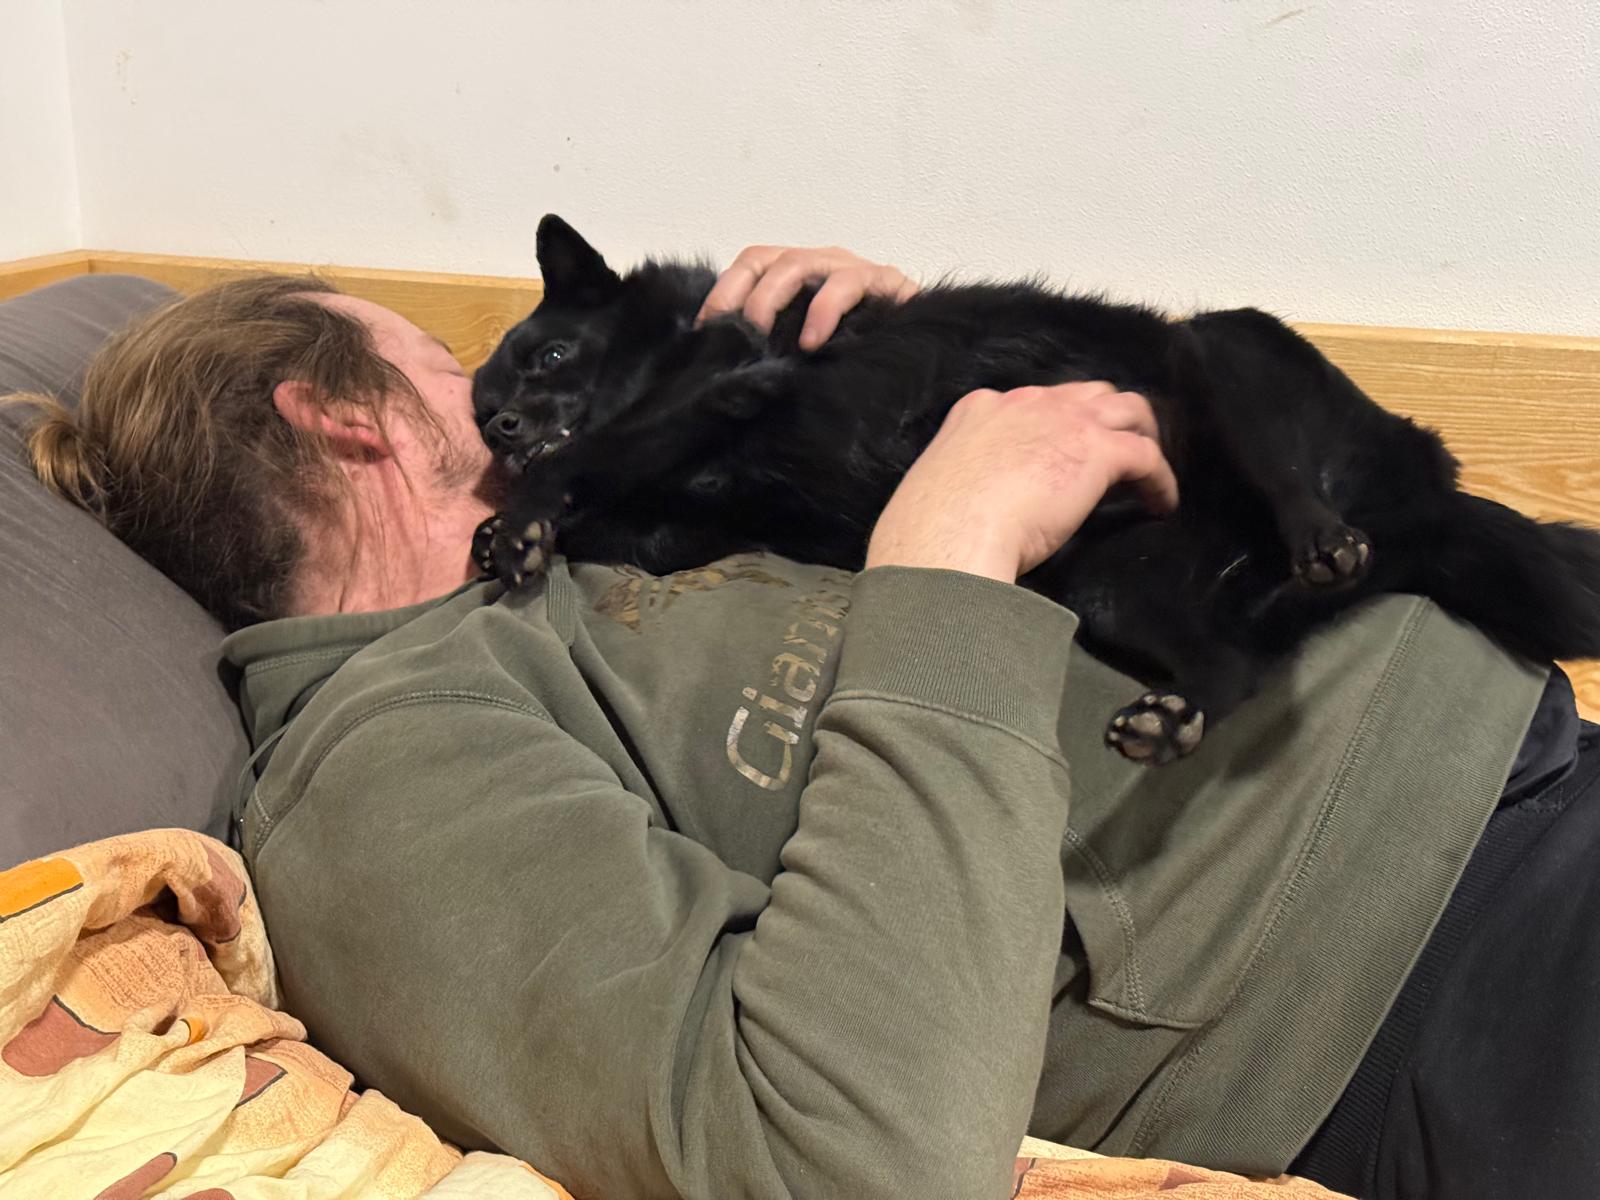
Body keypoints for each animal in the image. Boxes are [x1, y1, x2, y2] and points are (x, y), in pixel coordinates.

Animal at [469, 214, 1600, 764]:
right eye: (481, 413)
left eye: (549, 357)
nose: (503, 429)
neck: (666, 345)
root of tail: (1422, 505)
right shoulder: (678, 521)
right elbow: (615, 509)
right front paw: (512, 531)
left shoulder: (726, 380)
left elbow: (589, 459)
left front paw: (515, 526)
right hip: (1118, 588)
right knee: (1235, 669)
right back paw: (1175, 720)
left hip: (1219, 344)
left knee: (1293, 485)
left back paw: (1321, 534)